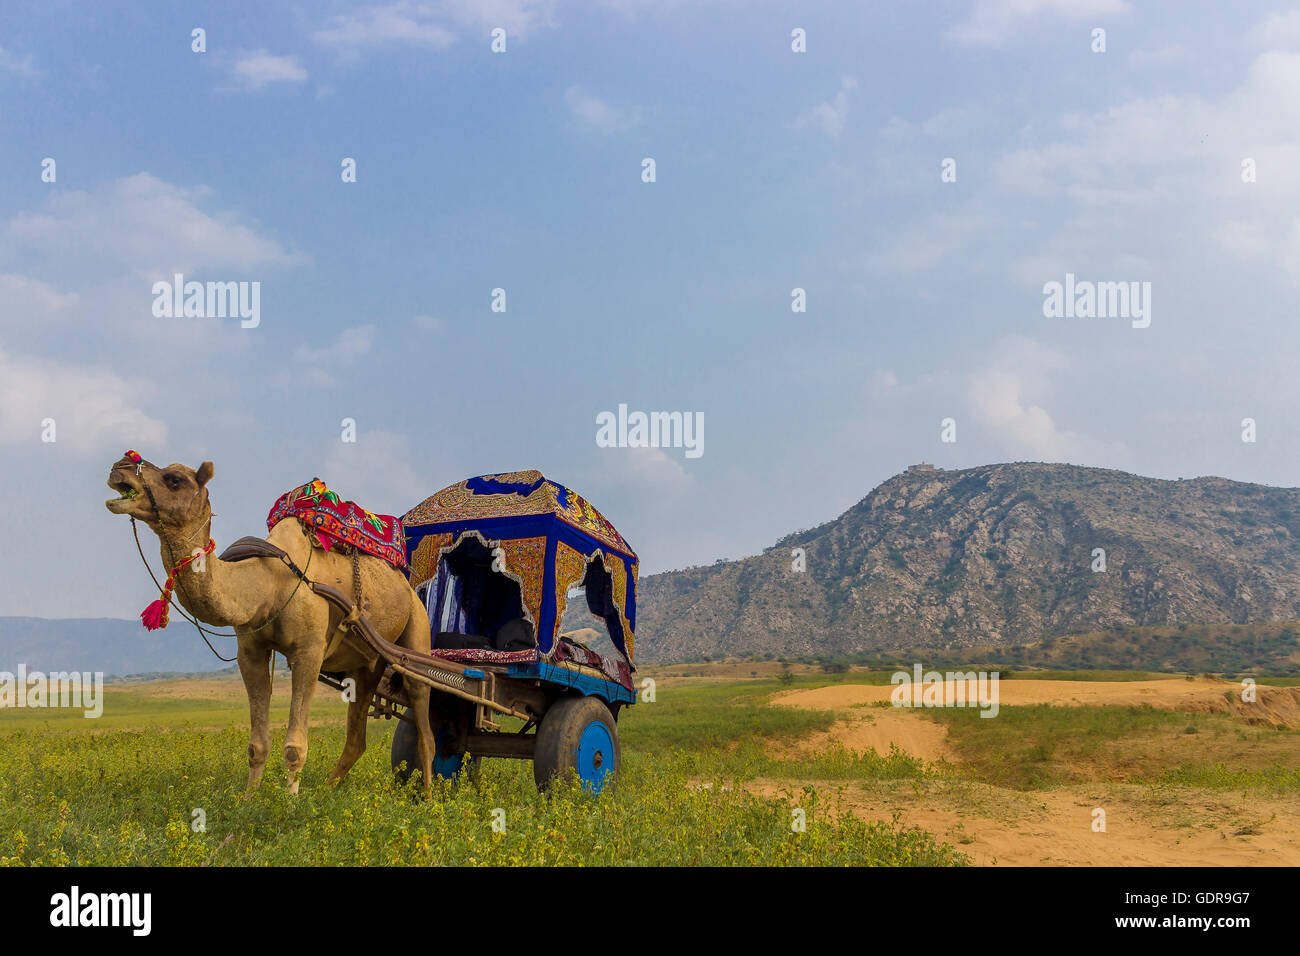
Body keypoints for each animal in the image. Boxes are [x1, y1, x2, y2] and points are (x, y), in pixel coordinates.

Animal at [102, 452, 436, 796]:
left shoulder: (309, 651)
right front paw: (250, 798)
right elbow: (257, 744)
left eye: (174, 480)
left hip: (417, 628)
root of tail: (406, 581)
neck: (268, 582)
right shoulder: (250, 651)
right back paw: (328, 790)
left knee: (425, 726)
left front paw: (290, 800)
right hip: (365, 663)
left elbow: (294, 746)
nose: (120, 467)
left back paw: (428, 795)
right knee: (358, 734)